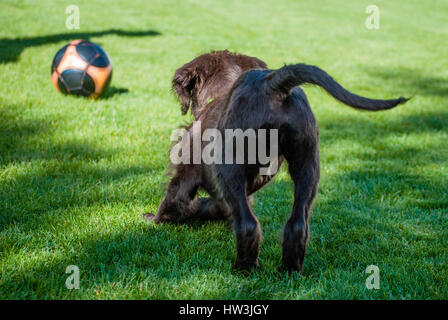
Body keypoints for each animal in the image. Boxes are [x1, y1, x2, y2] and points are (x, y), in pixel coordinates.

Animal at [144, 51, 410, 272]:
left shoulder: (187, 171)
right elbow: (217, 206)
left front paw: (154, 219)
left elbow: (174, 197)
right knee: (297, 223)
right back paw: (289, 268)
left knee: (248, 224)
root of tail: (272, 84)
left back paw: (244, 267)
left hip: (229, 167)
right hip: (307, 166)